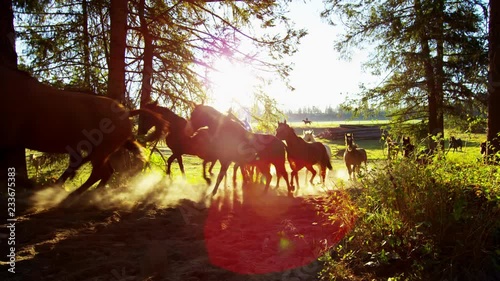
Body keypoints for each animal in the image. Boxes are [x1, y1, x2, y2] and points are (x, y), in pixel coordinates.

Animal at [0, 65, 168, 197]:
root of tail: (126, 113)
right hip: (101, 152)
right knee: (106, 172)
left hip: (100, 152)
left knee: (101, 172)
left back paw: (73, 194)